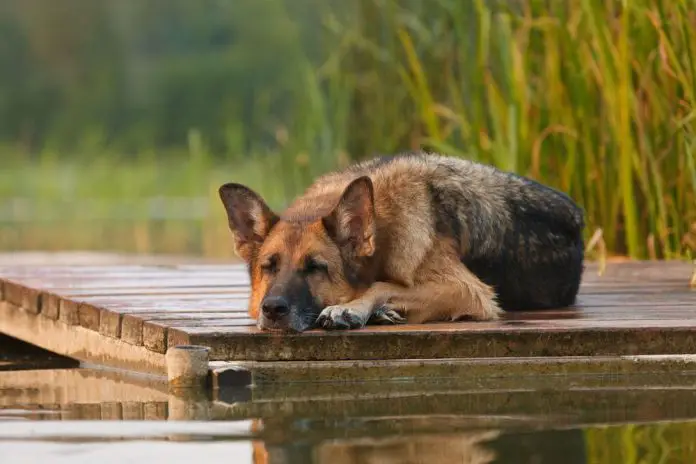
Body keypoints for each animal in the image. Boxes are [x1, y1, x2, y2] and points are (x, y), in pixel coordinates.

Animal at [218, 154, 580, 332]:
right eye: (269, 267)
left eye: (315, 268)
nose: (272, 309)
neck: (382, 227)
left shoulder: (468, 292)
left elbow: (380, 285)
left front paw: (350, 308)